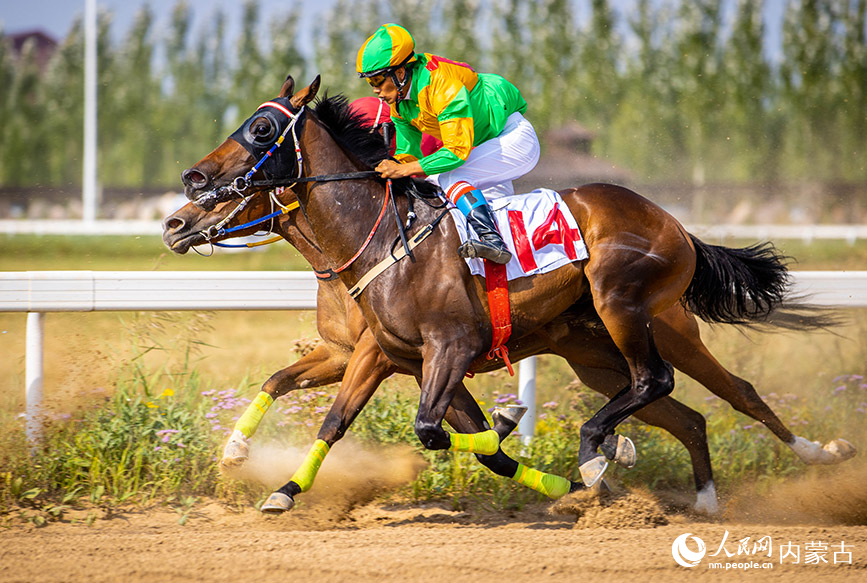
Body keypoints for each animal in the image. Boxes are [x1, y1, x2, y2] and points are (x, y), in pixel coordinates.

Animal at [166, 74, 856, 516]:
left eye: (260, 129)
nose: (183, 202)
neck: (377, 238)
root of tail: (675, 223)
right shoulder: (386, 354)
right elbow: (326, 408)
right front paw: (267, 478)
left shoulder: (442, 347)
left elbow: (438, 431)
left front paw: (525, 436)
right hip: (601, 354)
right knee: (692, 407)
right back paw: (704, 490)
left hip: (632, 309)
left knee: (690, 386)